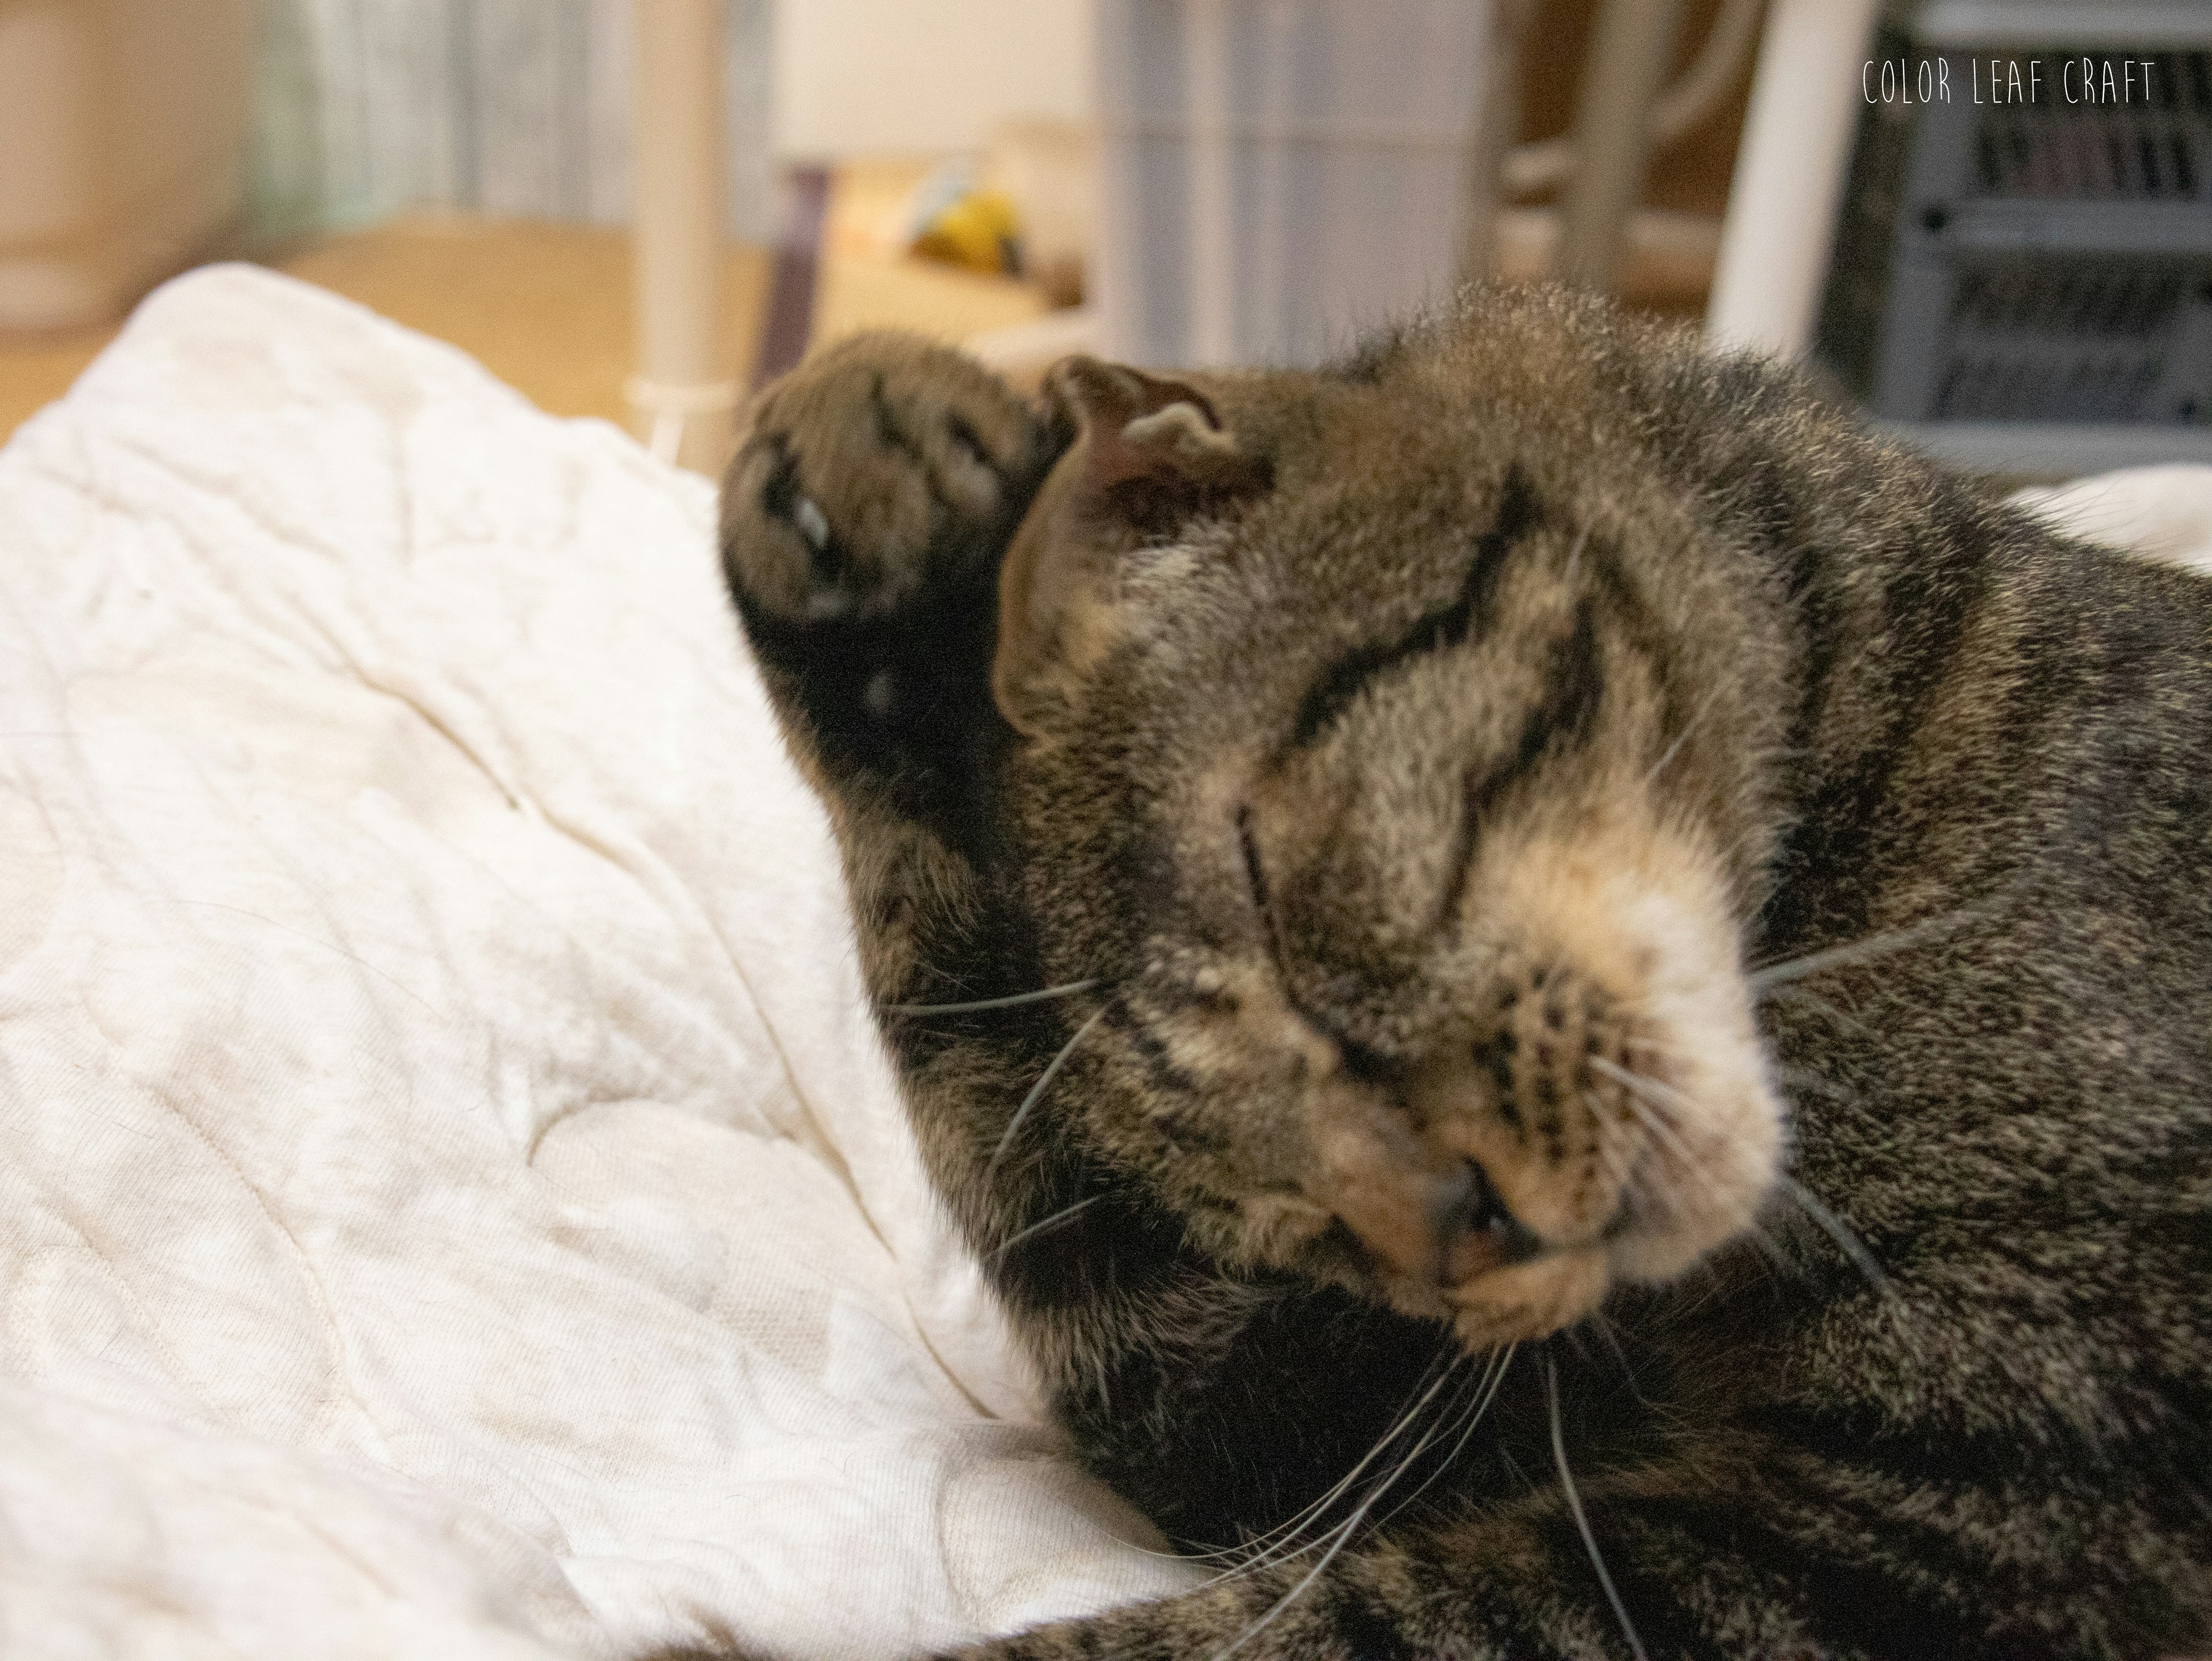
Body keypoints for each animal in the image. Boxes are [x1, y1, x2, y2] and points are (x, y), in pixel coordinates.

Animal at [717, 292, 2203, 1654]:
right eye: (1296, 1222)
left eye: (1274, 909)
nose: (1473, 1230)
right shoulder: (1325, 1418)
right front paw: (861, 498)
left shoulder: (1949, 1534)